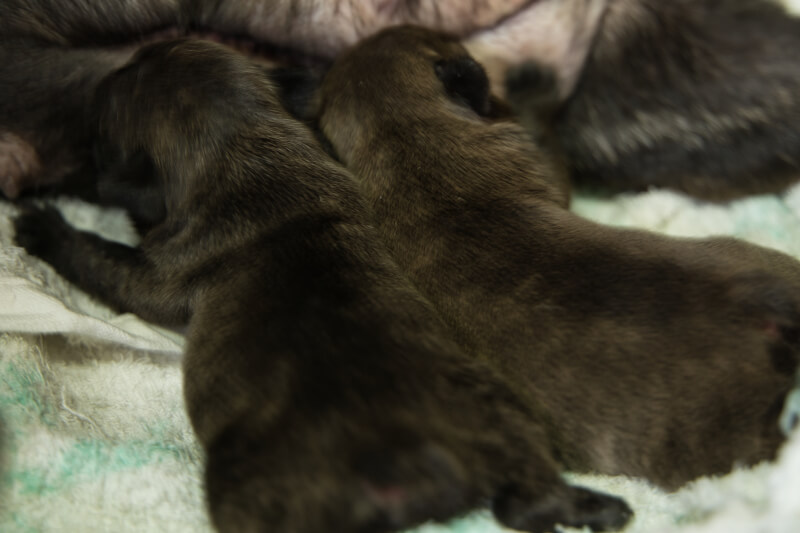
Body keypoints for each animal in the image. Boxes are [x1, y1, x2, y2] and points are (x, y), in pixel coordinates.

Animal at [10, 38, 632, 532]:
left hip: (249, 490)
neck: (241, 143)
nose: (118, 63)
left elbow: (103, 259)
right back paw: (598, 508)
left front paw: (43, 227)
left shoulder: (157, 271)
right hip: (503, 416)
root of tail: (416, 460)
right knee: (529, 501)